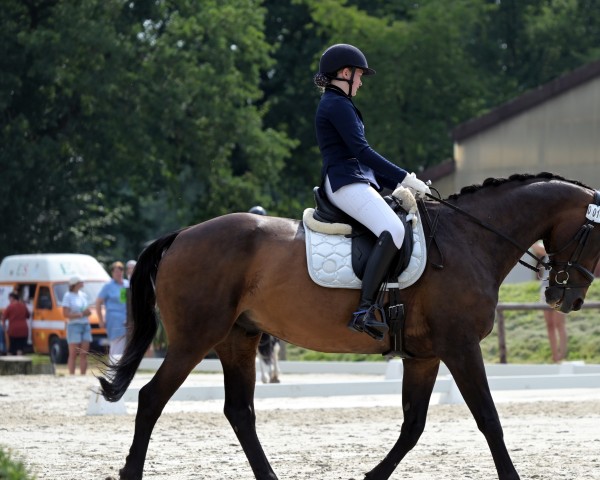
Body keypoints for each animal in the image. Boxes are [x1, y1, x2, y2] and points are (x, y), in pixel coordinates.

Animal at [101, 173, 596, 480]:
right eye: (596, 236)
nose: (567, 299)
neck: (469, 240)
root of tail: (181, 235)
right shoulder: (460, 347)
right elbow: (489, 418)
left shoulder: (425, 355)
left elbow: (413, 425)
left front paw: (372, 475)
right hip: (194, 339)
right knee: (151, 399)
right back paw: (131, 471)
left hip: (238, 339)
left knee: (239, 411)